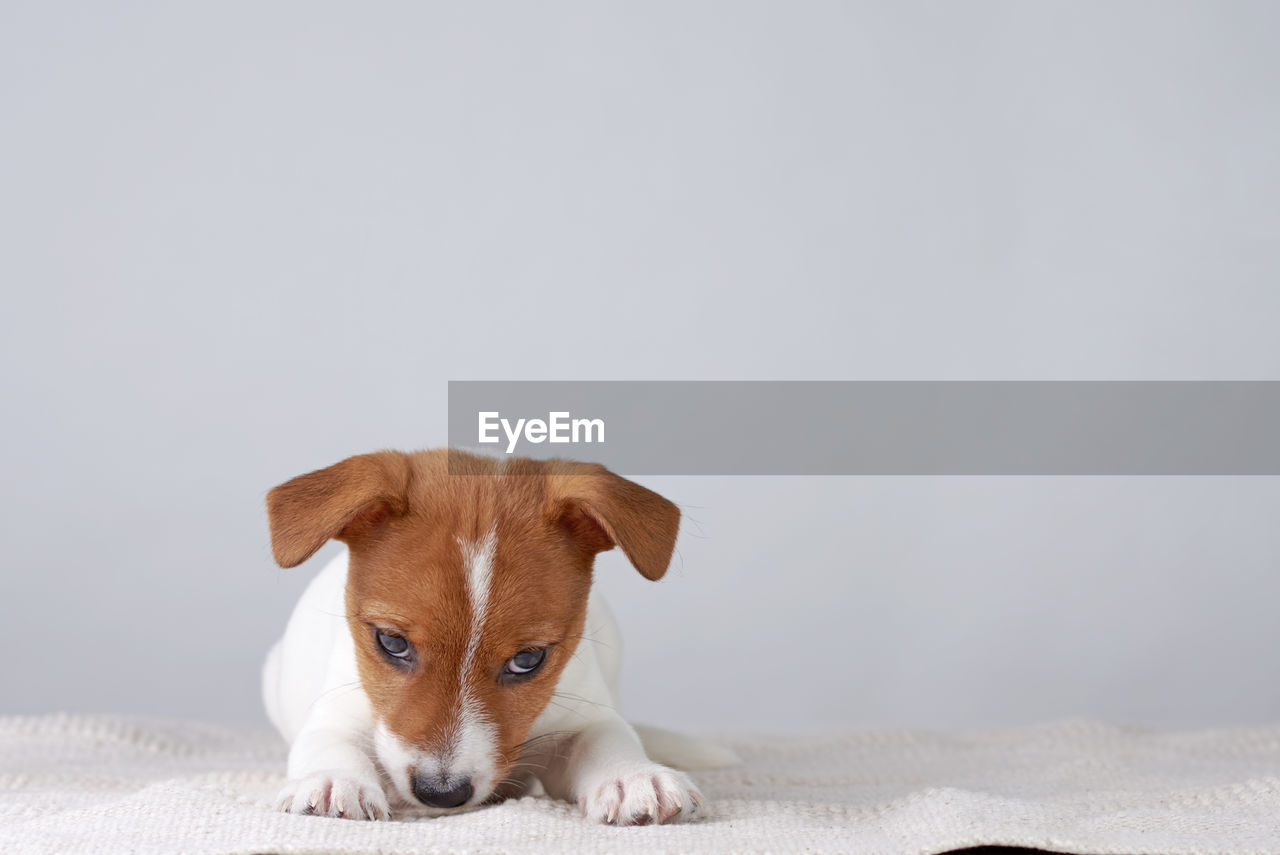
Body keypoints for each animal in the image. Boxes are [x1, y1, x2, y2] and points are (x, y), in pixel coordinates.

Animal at [259, 450, 732, 824]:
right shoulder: (339, 712)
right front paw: (332, 782)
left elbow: (605, 737)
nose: (441, 794)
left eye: (528, 659)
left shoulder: (585, 714)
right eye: (392, 643)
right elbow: (331, 744)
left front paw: (631, 775)